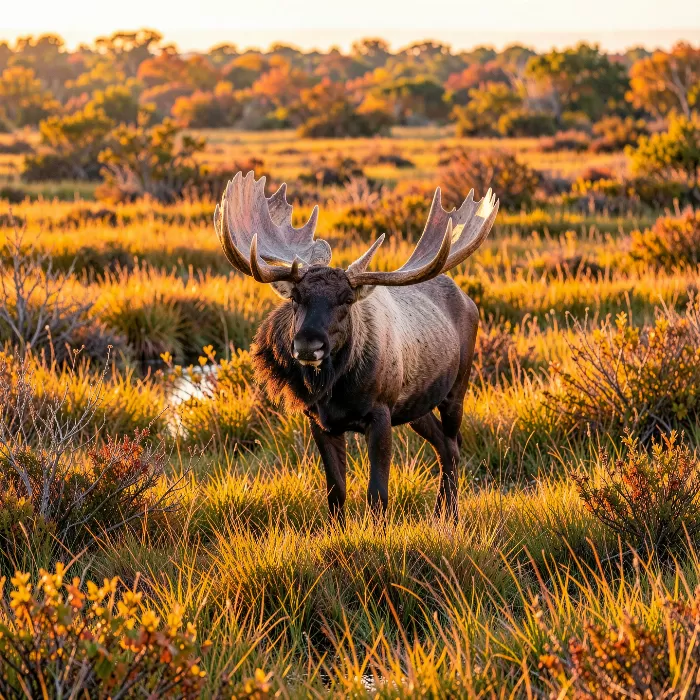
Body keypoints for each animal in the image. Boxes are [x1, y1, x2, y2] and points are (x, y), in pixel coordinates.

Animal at [214, 171, 498, 524]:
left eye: (347, 300)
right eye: (296, 298)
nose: (308, 344)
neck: (339, 391)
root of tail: (469, 299)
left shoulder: (381, 412)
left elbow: (377, 495)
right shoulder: (320, 420)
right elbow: (336, 492)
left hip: (457, 389)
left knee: (454, 446)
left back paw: (452, 515)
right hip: (417, 406)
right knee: (444, 447)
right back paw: (439, 514)